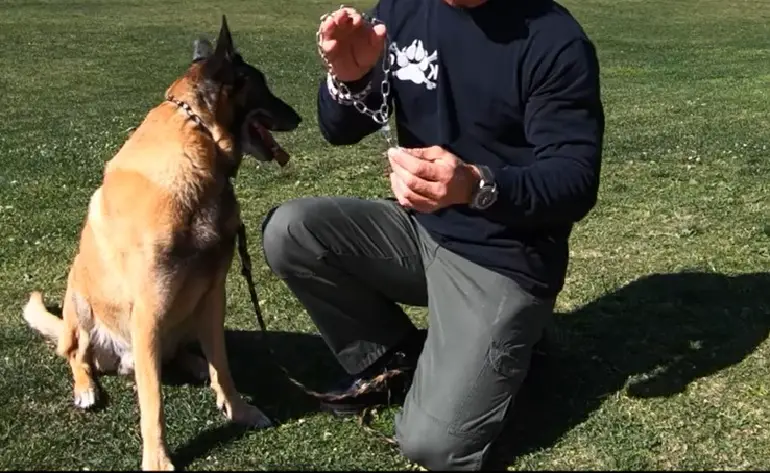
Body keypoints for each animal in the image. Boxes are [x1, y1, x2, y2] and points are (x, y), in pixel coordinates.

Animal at [19, 16, 302, 470]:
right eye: (263, 85)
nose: (298, 117)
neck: (199, 141)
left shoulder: (214, 294)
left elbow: (224, 365)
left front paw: (238, 409)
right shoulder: (149, 309)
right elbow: (153, 403)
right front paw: (157, 459)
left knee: (181, 353)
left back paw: (194, 363)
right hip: (80, 302)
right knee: (77, 355)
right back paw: (86, 388)